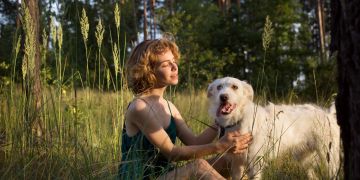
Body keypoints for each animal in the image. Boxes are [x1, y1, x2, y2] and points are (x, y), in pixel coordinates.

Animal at [207, 76, 338, 179]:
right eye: (219, 87)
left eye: (235, 87)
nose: (223, 97)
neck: (238, 120)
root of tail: (327, 114)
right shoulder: (236, 164)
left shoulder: (255, 164)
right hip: (304, 158)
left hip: (328, 156)